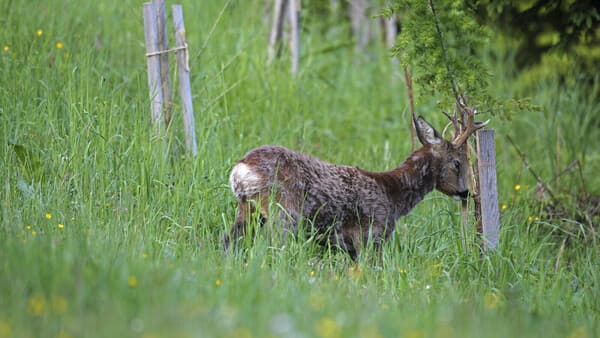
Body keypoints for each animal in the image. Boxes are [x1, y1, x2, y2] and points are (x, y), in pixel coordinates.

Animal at [227, 115, 486, 258]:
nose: (465, 192)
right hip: (283, 211)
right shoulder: (370, 234)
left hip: (247, 209)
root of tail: (241, 168)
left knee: (229, 241)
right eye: (457, 162)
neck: (393, 196)